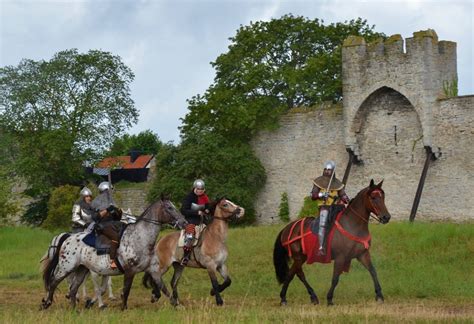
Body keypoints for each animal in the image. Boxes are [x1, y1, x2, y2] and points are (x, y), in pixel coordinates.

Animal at [39, 196, 187, 310]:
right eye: (169, 208)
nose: (184, 222)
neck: (140, 238)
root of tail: (67, 238)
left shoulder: (153, 270)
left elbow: (164, 288)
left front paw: (176, 305)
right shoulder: (129, 271)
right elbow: (125, 291)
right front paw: (123, 308)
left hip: (81, 269)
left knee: (73, 288)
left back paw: (74, 309)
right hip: (67, 267)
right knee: (54, 282)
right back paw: (47, 303)